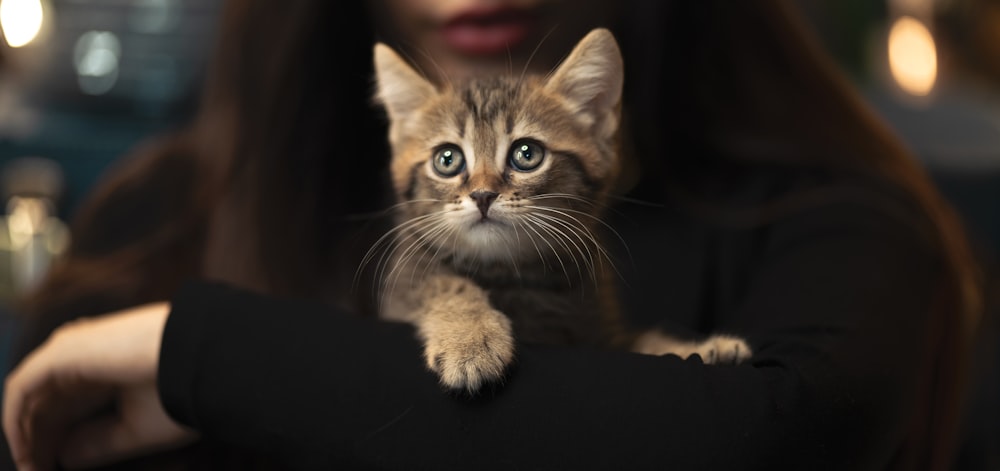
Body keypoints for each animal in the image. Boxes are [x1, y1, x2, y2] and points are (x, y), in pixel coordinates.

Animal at [372, 27, 748, 392]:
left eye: (526, 154)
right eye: (447, 160)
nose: (482, 195)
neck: (512, 274)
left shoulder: (602, 332)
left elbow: (640, 342)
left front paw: (702, 349)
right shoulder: (402, 285)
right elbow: (441, 281)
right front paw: (470, 339)